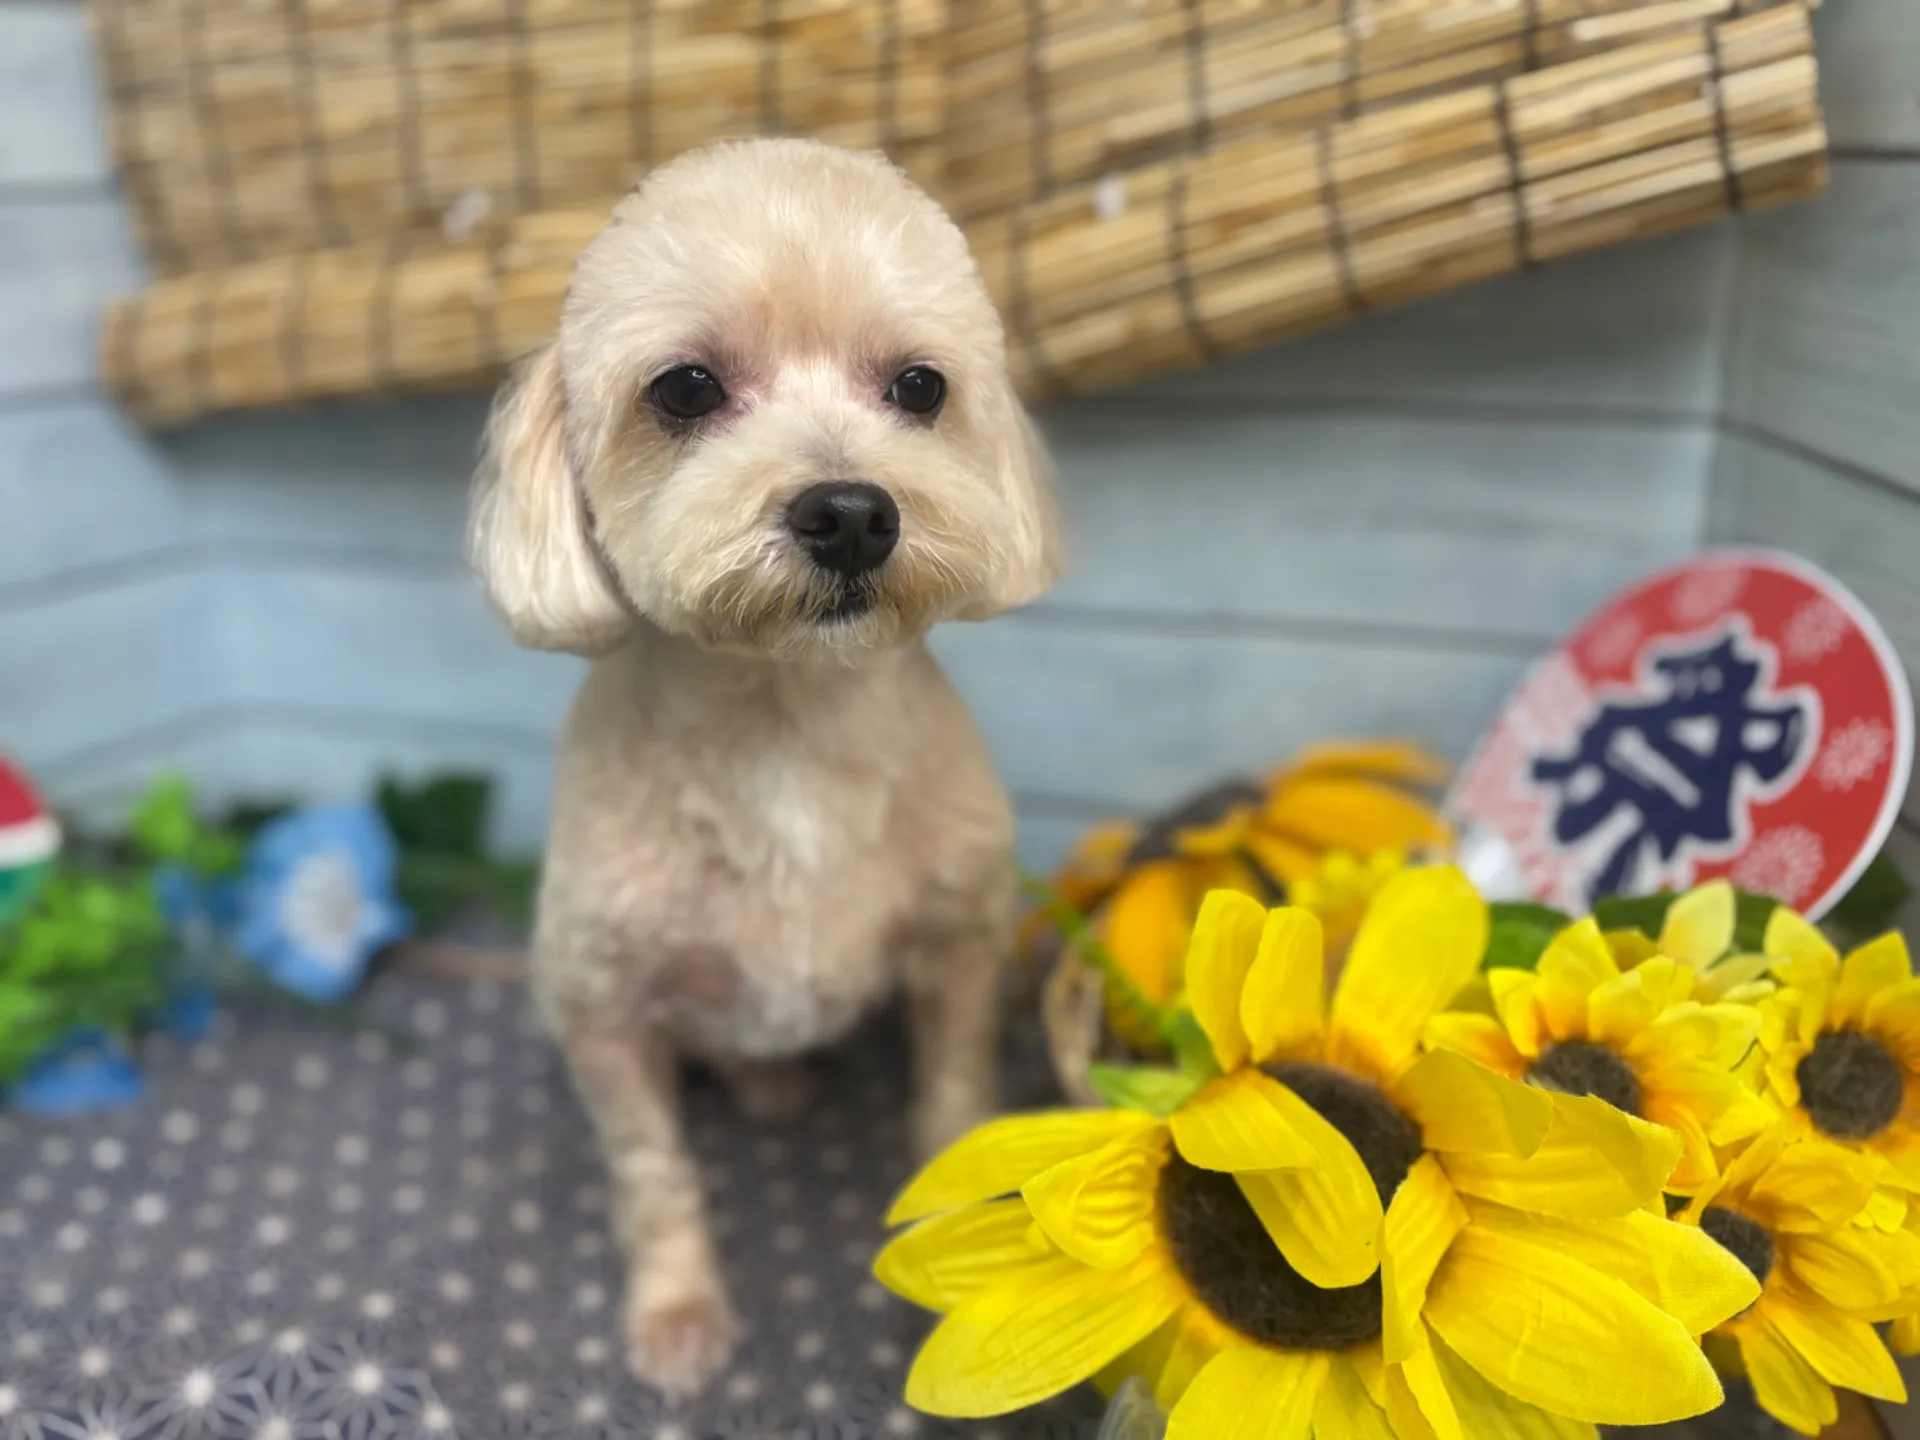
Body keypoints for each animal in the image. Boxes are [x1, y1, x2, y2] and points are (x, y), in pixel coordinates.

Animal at [466, 137, 1061, 1400]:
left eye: (921, 388)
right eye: (686, 389)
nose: (851, 512)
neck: (787, 730)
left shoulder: (958, 952)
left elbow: (951, 1105)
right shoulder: (604, 1016)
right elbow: (653, 1175)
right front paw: (678, 1313)